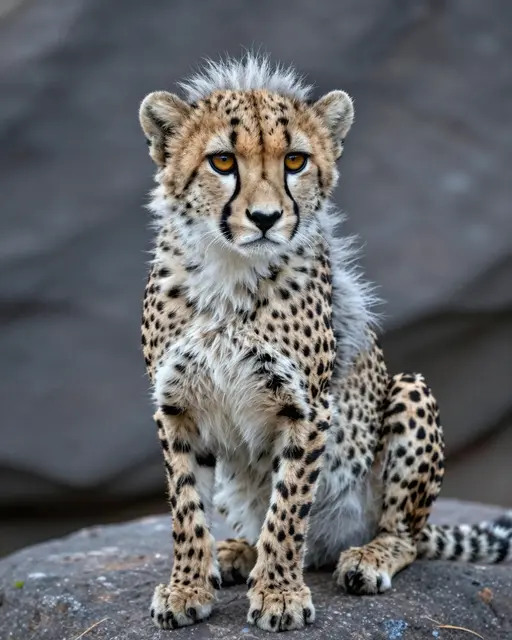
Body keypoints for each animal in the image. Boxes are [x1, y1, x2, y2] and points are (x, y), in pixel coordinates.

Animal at [138, 54, 512, 633]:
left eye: (295, 160)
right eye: (222, 162)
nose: (266, 218)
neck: (230, 271)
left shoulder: (306, 407)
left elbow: (289, 505)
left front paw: (278, 594)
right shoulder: (176, 404)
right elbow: (184, 505)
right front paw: (187, 587)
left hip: (409, 391)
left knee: (404, 535)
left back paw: (366, 557)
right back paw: (237, 552)